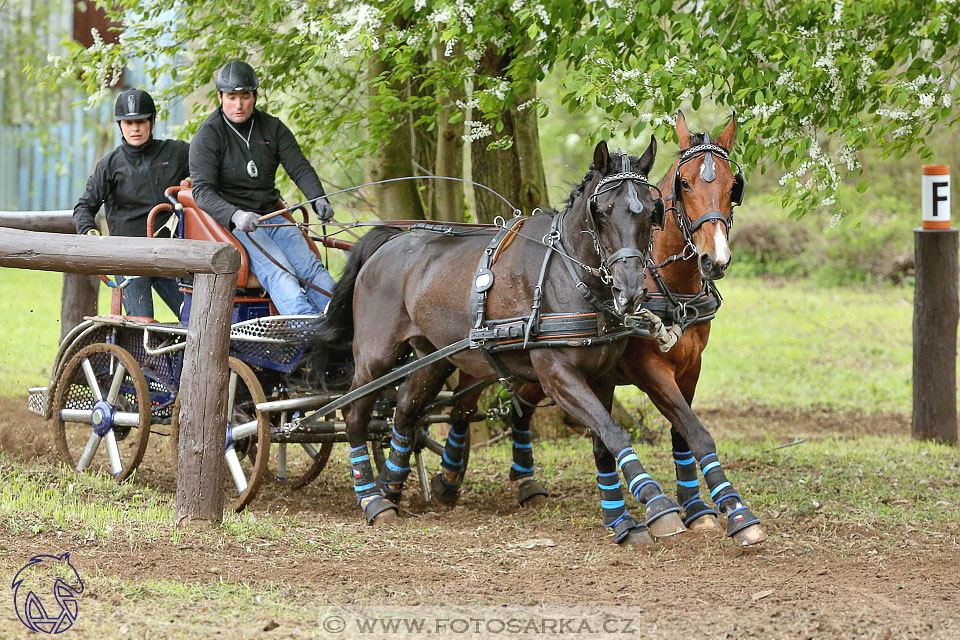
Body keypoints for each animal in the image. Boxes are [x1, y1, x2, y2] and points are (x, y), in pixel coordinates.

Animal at [432, 112, 768, 548]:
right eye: (685, 182)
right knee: (460, 406)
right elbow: (692, 430)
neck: (668, 283)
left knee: (518, 407)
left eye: (732, 186)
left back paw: (519, 479)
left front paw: (697, 509)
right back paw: (447, 475)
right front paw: (721, 511)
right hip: (478, 360)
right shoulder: (648, 370)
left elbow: (684, 433)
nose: (716, 258)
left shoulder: (691, 367)